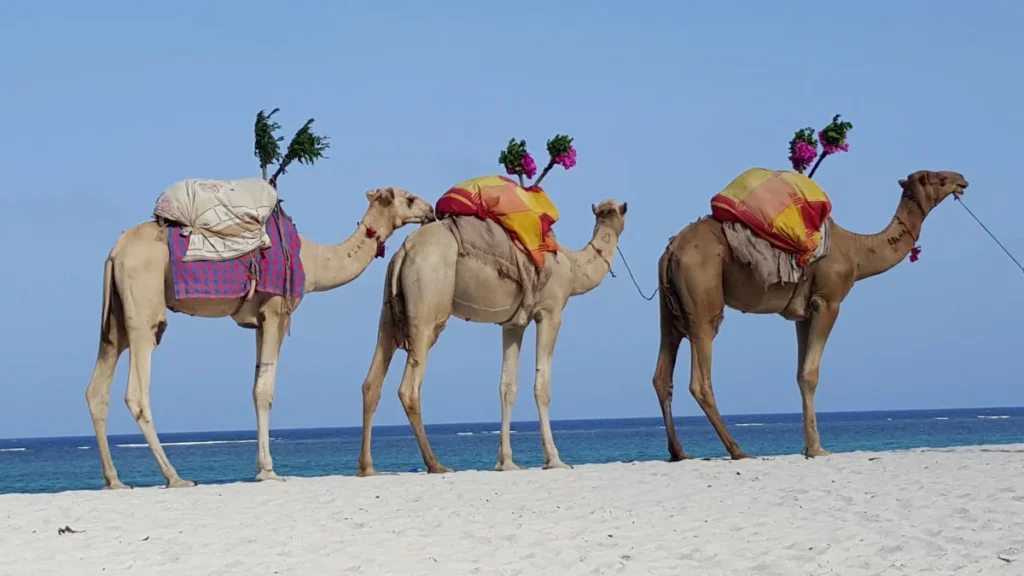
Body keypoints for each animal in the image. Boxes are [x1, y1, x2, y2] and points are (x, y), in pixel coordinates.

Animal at [85, 186, 436, 489]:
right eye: (409, 198)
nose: (430, 210)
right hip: (144, 306)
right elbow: (265, 391)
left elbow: (256, 388)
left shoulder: (258, 322)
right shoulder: (276, 311)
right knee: (137, 391)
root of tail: (115, 253)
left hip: (116, 318)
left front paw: (262, 467)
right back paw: (175, 477)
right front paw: (269, 471)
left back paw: (115, 481)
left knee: (97, 388)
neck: (314, 260)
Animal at [356, 199, 628, 475]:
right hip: (428, 303)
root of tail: (405, 249)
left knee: (372, 381)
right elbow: (542, 386)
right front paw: (554, 459)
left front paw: (506, 462)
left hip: (389, 310)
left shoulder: (513, 324)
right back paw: (436, 464)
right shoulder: (551, 312)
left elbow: (507, 387)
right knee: (409, 387)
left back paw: (367, 467)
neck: (573, 267)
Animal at [653, 170, 968, 460]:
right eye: (937, 179)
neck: (857, 252)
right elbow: (811, 374)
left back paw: (679, 452)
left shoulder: (802, 313)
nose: (962, 180)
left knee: (662, 374)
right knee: (700, 377)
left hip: (669, 310)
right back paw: (738, 451)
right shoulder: (827, 301)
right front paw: (817, 449)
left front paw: (808, 447)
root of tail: (671, 250)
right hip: (702, 298)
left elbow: (800, 373)